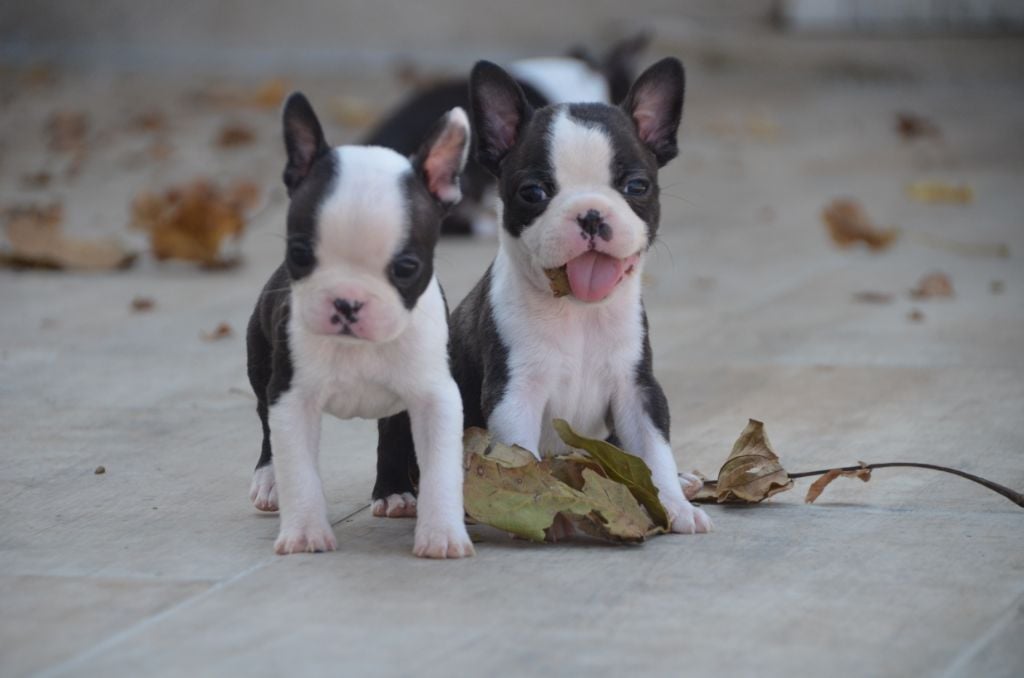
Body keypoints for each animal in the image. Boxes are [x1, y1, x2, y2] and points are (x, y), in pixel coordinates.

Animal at [245, 93, 473, 561]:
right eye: (299, 253)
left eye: (406, 267)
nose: (347, 301)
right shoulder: (292, 398)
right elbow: (299, 469)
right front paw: (304, 533)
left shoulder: (435, 397)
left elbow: (441, 468)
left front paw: (442, 533)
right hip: (260, 363)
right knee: (264, 422)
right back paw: (270, 480)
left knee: (392, 428)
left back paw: (394, 492)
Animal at [395, 58, 708, 536]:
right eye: (533, 193)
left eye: (637, 186)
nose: (591, 214)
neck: (578, 312)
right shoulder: (515, 394)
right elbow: (521, 457)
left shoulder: (637, 390)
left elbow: (653, 451)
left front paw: (675, 505)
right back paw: (398, 496)